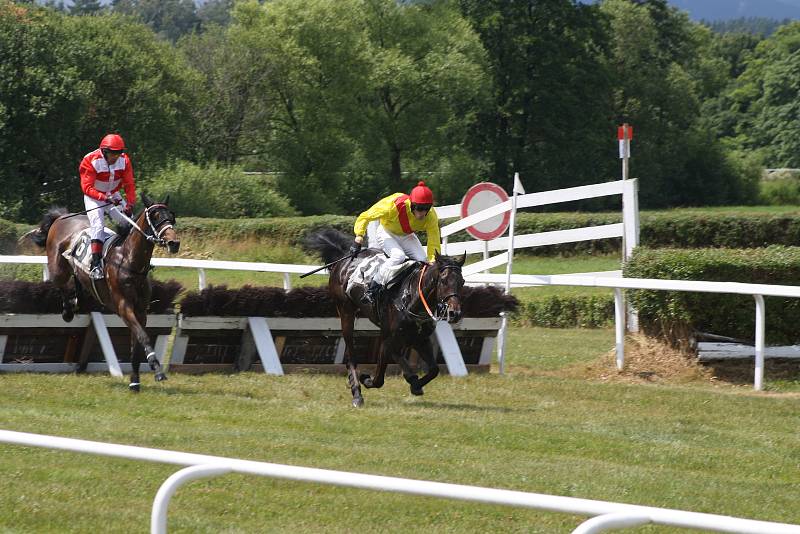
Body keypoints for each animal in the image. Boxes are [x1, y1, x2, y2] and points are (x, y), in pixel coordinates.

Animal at [30, 195, 180, 392]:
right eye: (155, 216)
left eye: (171, 216)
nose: (174, 243)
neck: (130, 261)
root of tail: (60, 217)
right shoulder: (124, 307)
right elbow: (143, 337)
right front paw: (158, 370)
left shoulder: (141, 311)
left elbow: (137, 345)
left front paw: (135, 381)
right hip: (57, 269)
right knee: (61, 284)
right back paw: (68, 310)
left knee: (77, 279)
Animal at [308, 228, 468, 408]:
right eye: (443, 280)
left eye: (462, 281)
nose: (455, 313)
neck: (411, 297)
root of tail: (345, 257)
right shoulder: (387, 338)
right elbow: (379, 379)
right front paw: (366, 379)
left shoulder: (420, 338)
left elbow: (433, 370)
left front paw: (415, 384)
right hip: (345, 311)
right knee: (351, 356)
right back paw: (357, 394)